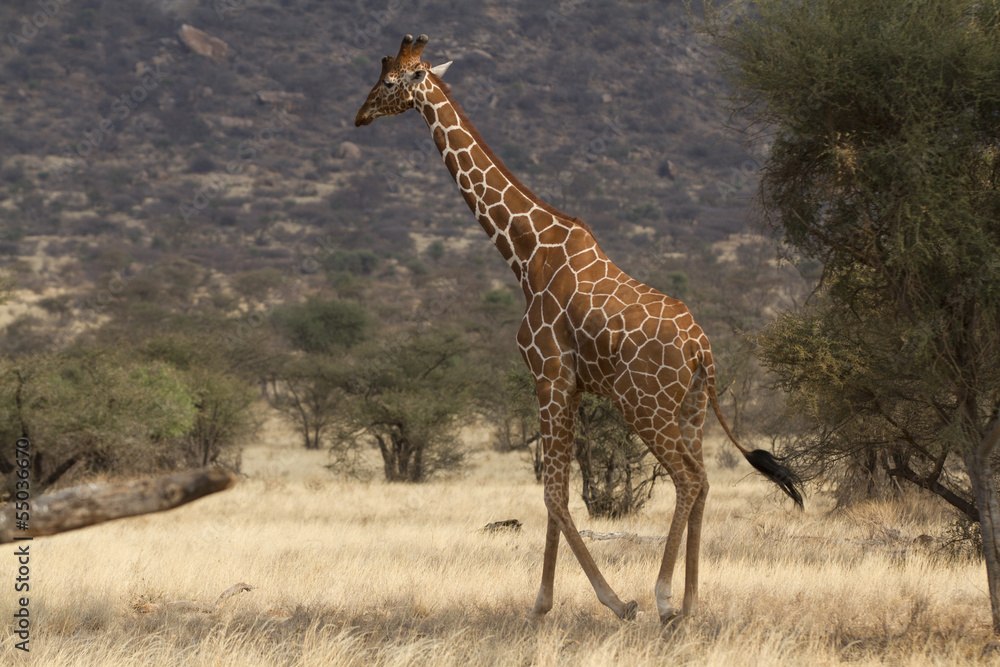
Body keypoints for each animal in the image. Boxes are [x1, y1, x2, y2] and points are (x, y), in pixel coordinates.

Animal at [354, 34, 803, 625]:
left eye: (388, 82)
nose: (359, 115)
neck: (525, 254)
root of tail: (701, 348)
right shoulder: (566, 385)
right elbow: (556, 495)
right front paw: (541, 605)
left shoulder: (549, 376)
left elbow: (553, 495)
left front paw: (611, 601)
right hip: (691, 409)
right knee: (704, 481)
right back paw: (690, 603)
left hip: (645, 404)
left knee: (686, 479)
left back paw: (662, 598)